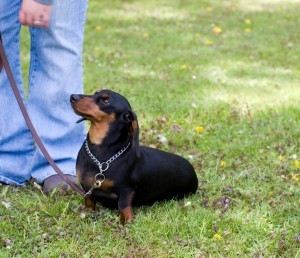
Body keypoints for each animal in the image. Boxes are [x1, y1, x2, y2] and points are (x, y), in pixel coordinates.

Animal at [69, 90, 198, 224]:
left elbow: (123, 204)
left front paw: (126, 221)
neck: (100, 153)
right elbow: (89, 200)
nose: (72, 97)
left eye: (106, 100)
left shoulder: (127, 190)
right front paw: (87, 213)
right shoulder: (87, 189)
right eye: (95, 93)